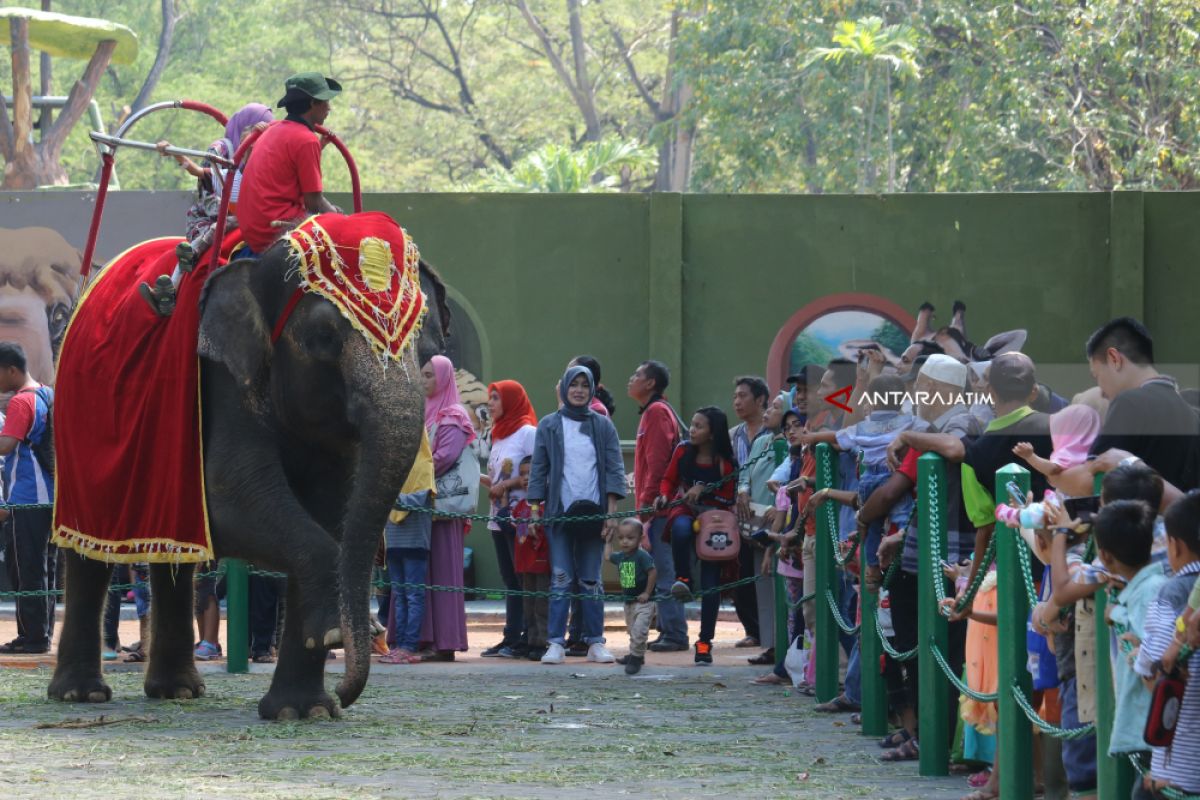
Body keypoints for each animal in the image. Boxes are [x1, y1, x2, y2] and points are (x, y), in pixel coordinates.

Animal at [45, 241, 451, 724]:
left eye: (427, 340)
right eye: (323, 337)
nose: (346, 694)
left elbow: (331, 518)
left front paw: (303, 711)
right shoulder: (221, 384)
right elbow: (229, 503)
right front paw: (337, 634)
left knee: (175, 553)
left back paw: (177, 690)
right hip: (77, 436)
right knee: (88, 552)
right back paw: (80, 694)